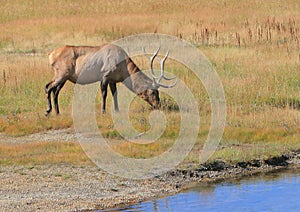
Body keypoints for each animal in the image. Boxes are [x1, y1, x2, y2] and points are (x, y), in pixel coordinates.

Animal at [43, 43, 177, 116]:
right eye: (153, 92)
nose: (158, 105)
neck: (123, 69)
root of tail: (50, 55)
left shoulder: (113, 79)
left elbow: (114, 94)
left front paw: (116, 110)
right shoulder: (105, 75)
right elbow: (104, 94)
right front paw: (103, 111)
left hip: (64, 77)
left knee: (55, 91)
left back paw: (57, 112)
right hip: (61, 74)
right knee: (48, 87)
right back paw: (48, 110)